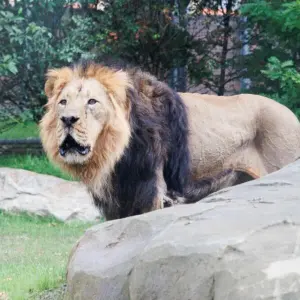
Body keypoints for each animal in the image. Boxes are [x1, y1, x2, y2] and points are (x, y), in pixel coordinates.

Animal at [39, 61, 300, 220]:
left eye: (92, 102)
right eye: (63, 102)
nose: (68, 119)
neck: (113, 155)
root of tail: (292, 115)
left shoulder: (152, 190)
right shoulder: (117, 200)